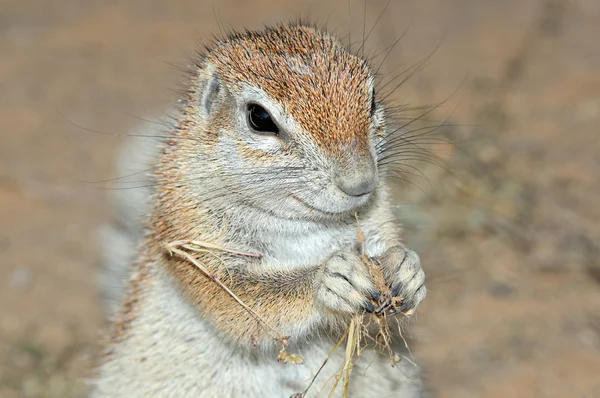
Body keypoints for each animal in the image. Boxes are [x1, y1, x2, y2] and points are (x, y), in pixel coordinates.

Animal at [95, 22, 426, 398]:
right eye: (260, 117)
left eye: (370, 98)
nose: (360, 182)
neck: (306, 223)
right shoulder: (190, 239)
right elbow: (244, 302)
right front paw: (330, 279)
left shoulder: (379, 219)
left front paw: (406, 267)